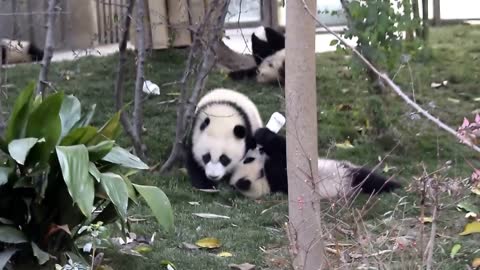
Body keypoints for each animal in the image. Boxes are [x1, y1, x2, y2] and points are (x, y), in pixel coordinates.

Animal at [229, 127, 402, 199]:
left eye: (247, 158)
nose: (258, 150)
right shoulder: (278, 176)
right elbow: (284, 157)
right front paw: (265, 136)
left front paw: (257, 136)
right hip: (349, 178)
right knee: (371, 181)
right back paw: (394, 186)